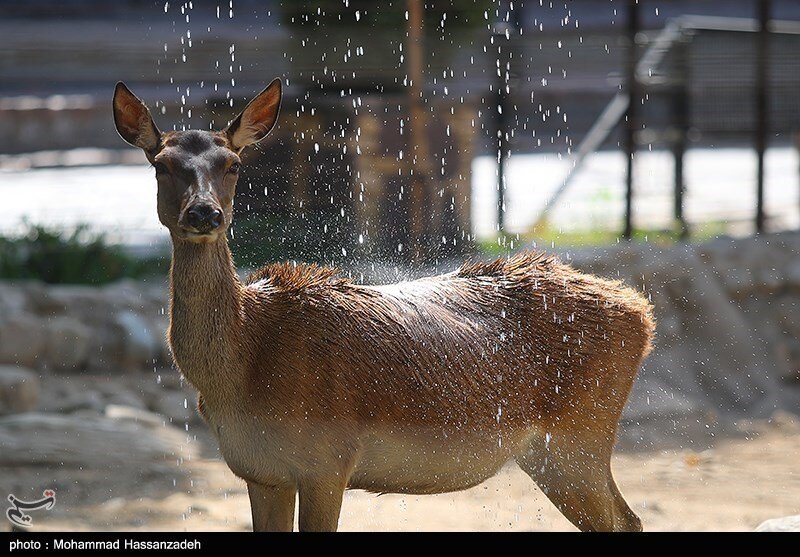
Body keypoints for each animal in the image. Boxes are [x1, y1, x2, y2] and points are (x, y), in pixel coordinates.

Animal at [115, 79, 660, 528]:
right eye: (161, 165)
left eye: (233, 164)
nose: (204, 213)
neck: (243, 369)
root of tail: (642, 311)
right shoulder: (260, 471)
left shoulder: (327, 460)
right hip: (553, 451)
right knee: (626, 518)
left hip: (577, 438)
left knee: (624, 520)